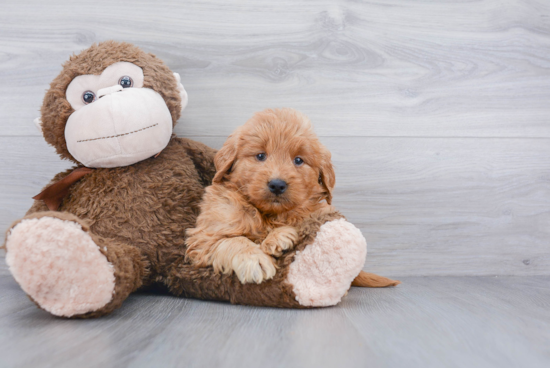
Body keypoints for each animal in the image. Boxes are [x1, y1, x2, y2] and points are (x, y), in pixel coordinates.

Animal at [187, 108, 336, 284]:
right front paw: (255, 260)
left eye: (298, 160)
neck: (267, 214)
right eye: (260, 156)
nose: (277, 185)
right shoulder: (204, 238)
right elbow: (234, 240)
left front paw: (278, 237)